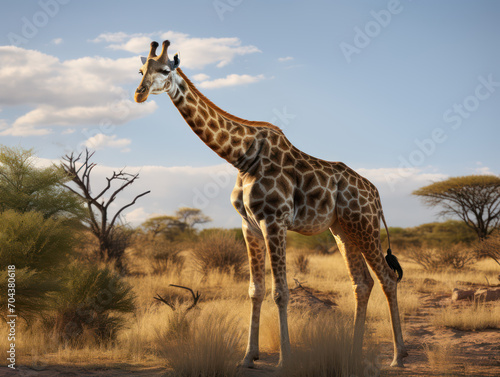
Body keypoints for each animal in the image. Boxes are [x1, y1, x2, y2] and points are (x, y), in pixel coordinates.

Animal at [135, 39, 408, 366]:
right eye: (140, 70)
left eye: (165, 70)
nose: (139, 93)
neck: (241, 157)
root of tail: (376, 195)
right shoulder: (249, 225)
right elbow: (255, 289)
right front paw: (247, 357)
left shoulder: (274, 220)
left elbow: (281, 291)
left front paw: (284, 359)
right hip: (343, 229)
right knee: (362, 282)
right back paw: (354, 353)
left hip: (364, 225)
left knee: (388, 278)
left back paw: (398, 357)